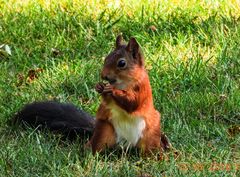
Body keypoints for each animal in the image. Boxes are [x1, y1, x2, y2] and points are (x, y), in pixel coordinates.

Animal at [13, 35, 171, 156]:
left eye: (122, 63)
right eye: (106, 58)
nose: (103, 76)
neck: (123, 84)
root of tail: (127, 145)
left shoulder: (143, 88)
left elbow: (133, 103)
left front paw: (113, 91)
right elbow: (106, 102)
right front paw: (100, 87)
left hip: (150, 135)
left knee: (150, 150)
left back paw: (160, 156)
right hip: (105, 131)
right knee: (97, 147)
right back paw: (87, 153)